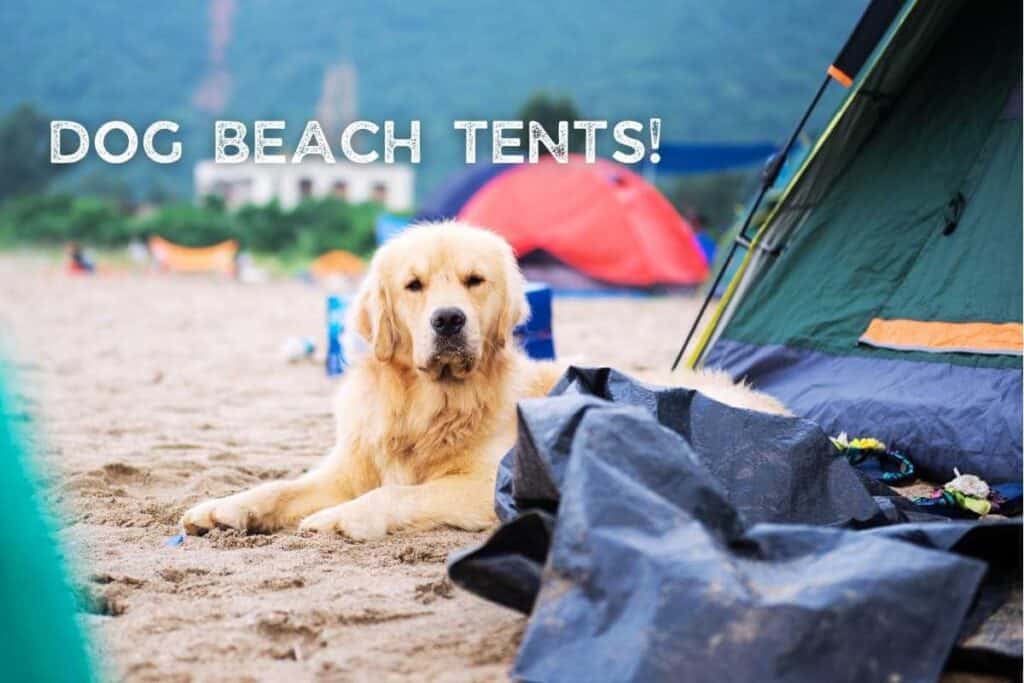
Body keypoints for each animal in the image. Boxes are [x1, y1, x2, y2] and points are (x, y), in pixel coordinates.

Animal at [182, 222, 782, 540]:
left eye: (475, 281)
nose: (449, 320)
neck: (428, 405)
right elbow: (282, 486)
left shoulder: (484, 484)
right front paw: (223, 508)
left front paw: (340, 518)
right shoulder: (350, 466)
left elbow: (395, 495)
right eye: (414, 285)